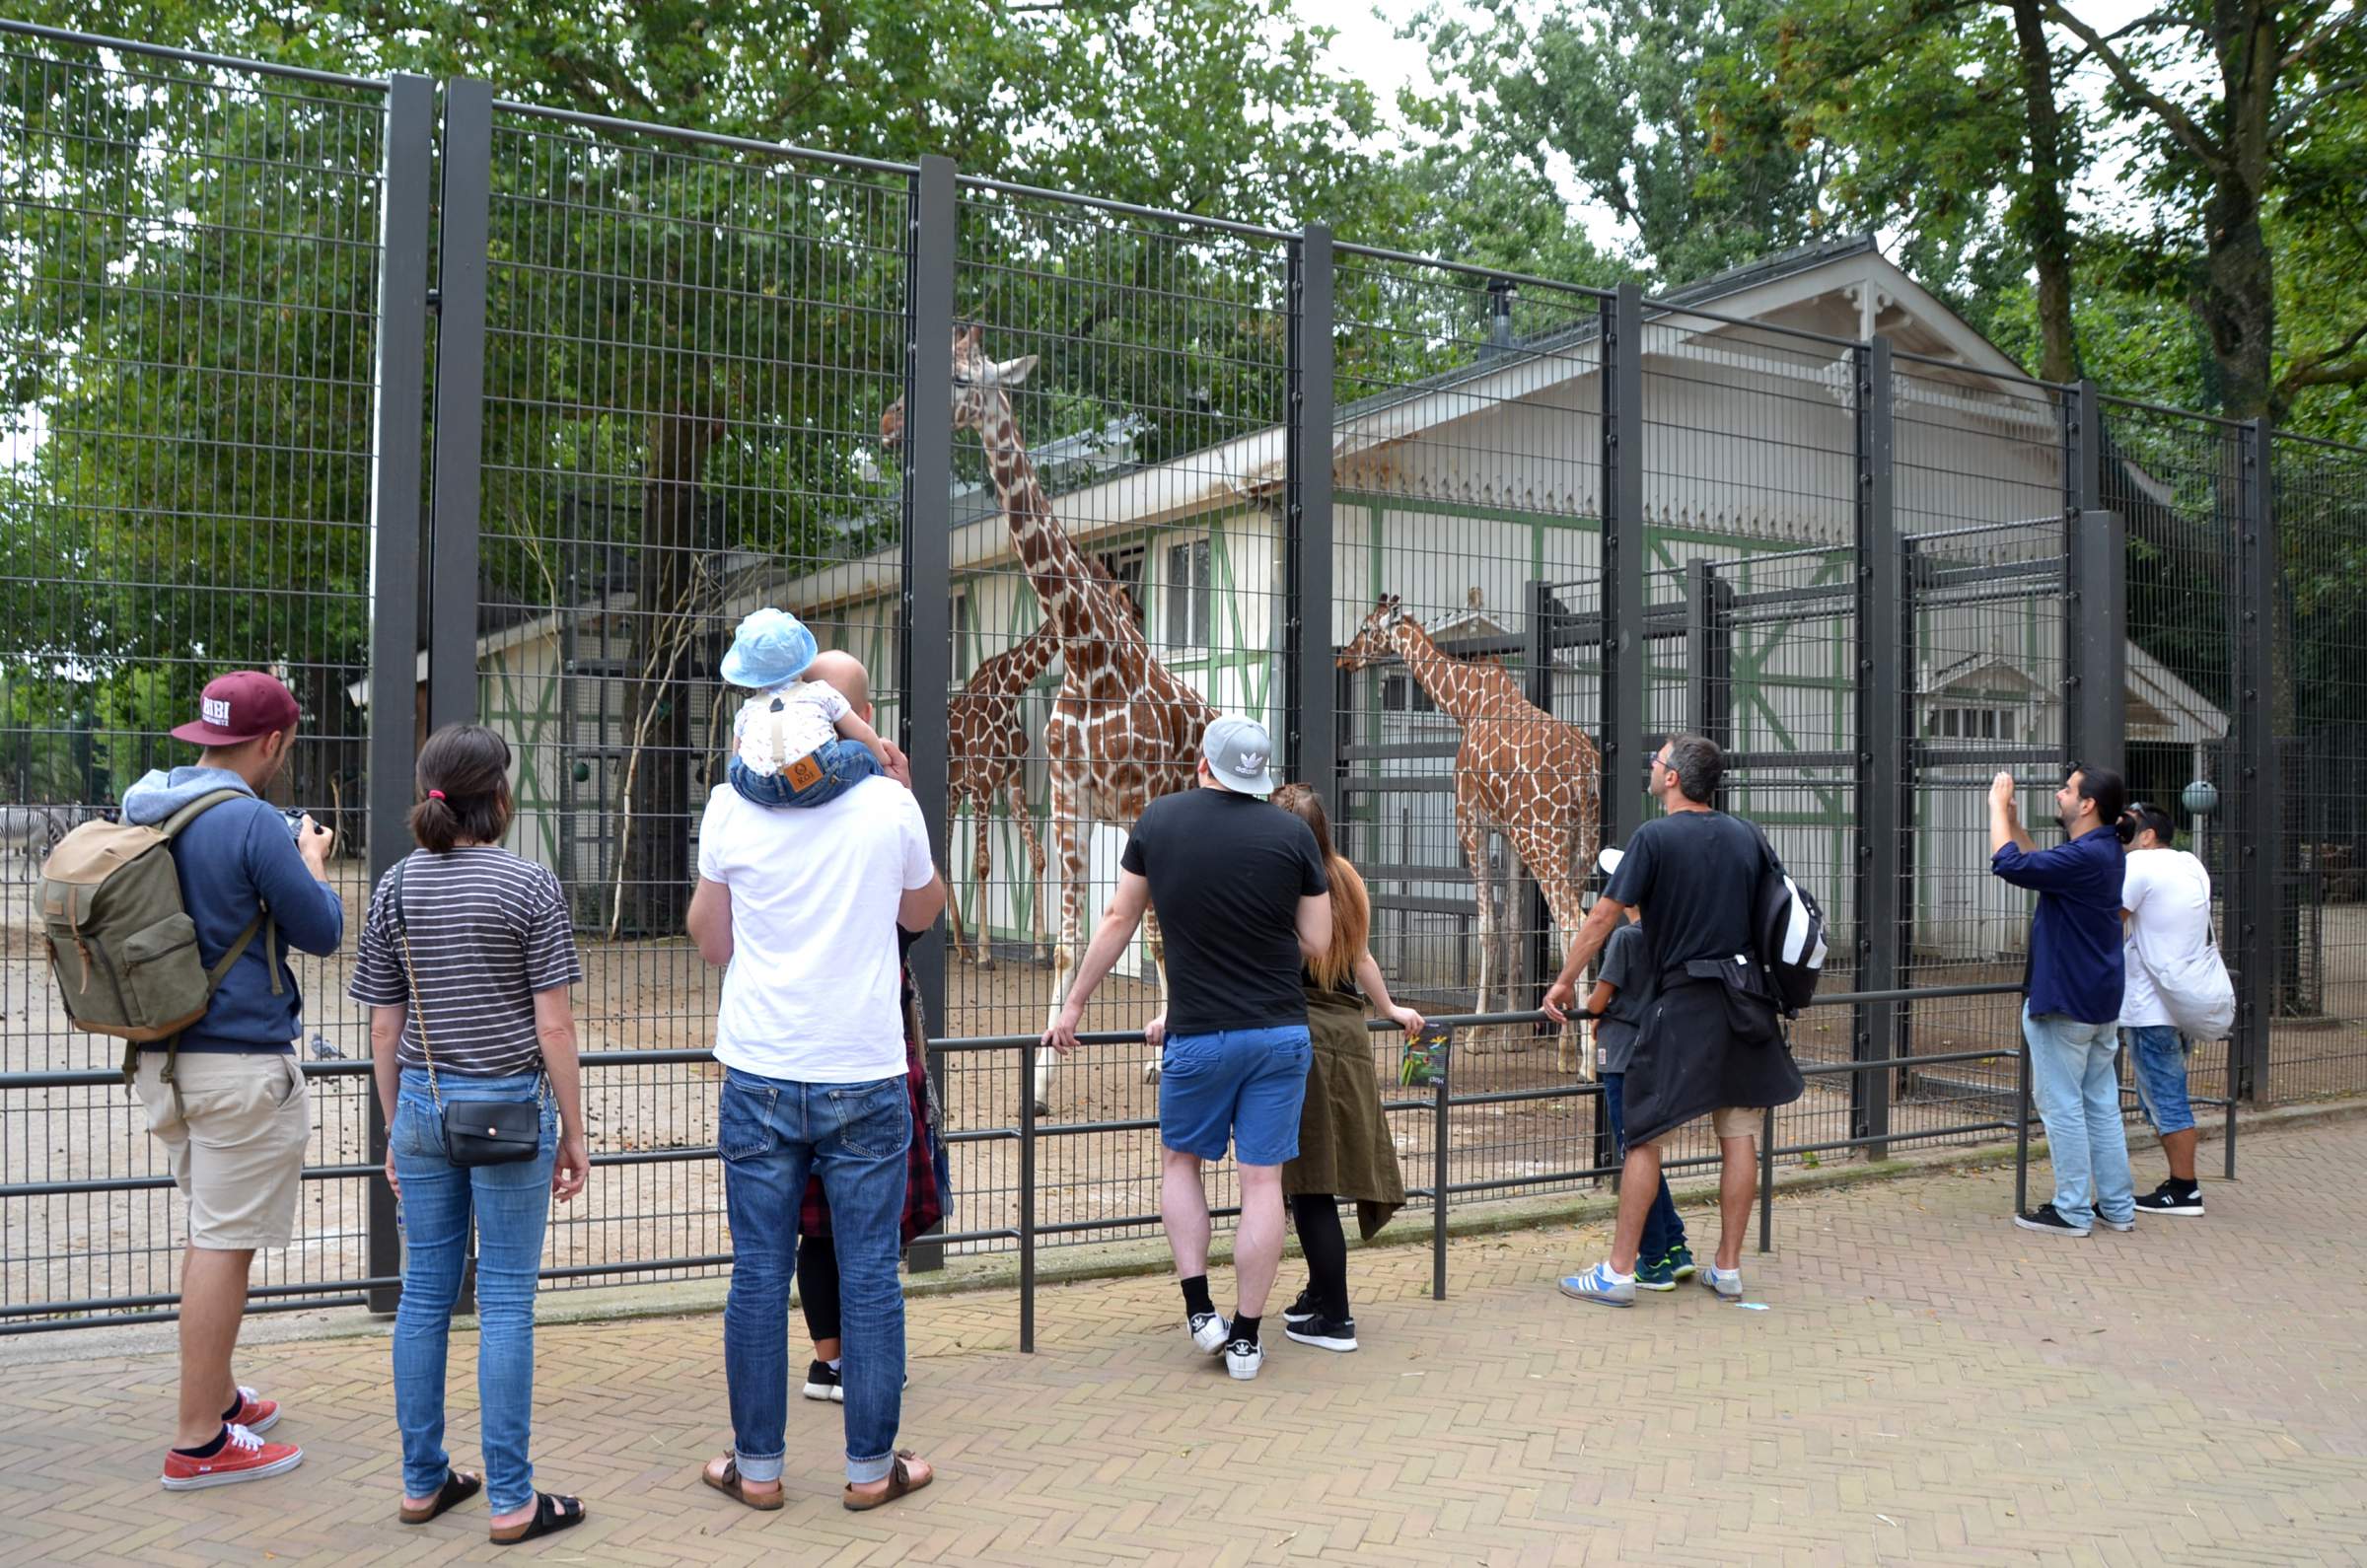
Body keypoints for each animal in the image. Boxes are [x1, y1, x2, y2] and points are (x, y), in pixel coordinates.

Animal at [937, 615, 1060, 965]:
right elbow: (982, 863)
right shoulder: (982, 782)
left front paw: (1040, 950)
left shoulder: (1011, 783)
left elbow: (1038, 855)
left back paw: (961, 947)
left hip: (953, 792)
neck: (1009, 693)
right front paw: (984, 952)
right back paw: (966, 948)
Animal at [1344, 597, 1600, 1075]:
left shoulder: (1472, 820)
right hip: (1579, 841)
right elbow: (1516, 928)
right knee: (1575, 926)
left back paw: (1588, 1062)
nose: (1345, 657)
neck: (1465, 703)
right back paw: (1567, 1051)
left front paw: (1478, 1037)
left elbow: (1487, 926)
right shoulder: (1510, 835)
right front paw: (1515, 1037)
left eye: (1367, 628)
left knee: (1574, 923)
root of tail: (1586, 773)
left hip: (1545, 839)